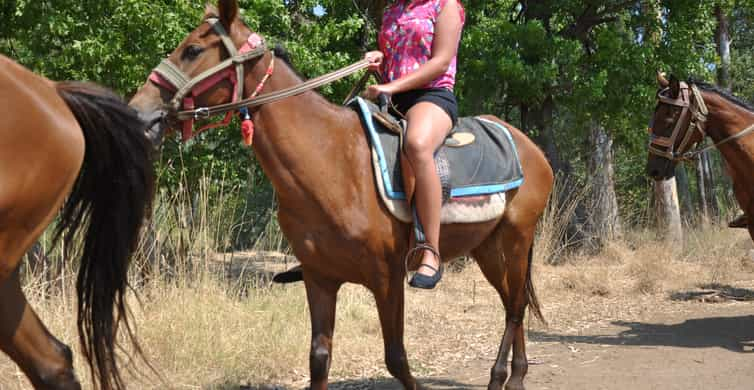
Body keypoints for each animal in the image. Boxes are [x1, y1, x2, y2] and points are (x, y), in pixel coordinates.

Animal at [129, 1, 552, 388]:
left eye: (193, 50)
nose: (139, 114)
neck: (330, 160)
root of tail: (530, 148)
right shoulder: (320, 278)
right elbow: (319, 358)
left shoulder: (387, 278)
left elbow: (397, 359)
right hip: (488, 247)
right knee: (513, 303)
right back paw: (515, 375)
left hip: (515, 240)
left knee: (515, 307)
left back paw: (503, 378)